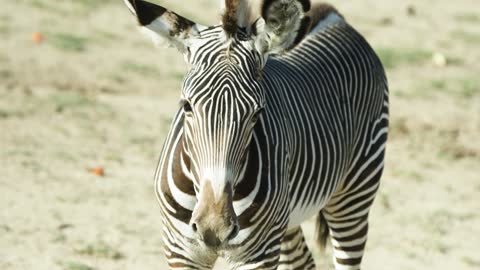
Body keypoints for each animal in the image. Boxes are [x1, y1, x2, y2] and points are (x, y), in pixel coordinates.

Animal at [124, 0, 386, 270]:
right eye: (186, 105)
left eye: (257, 112)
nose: (214, 227)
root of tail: (334, 18)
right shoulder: (181, 252)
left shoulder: (259, 255)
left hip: (354, 194)